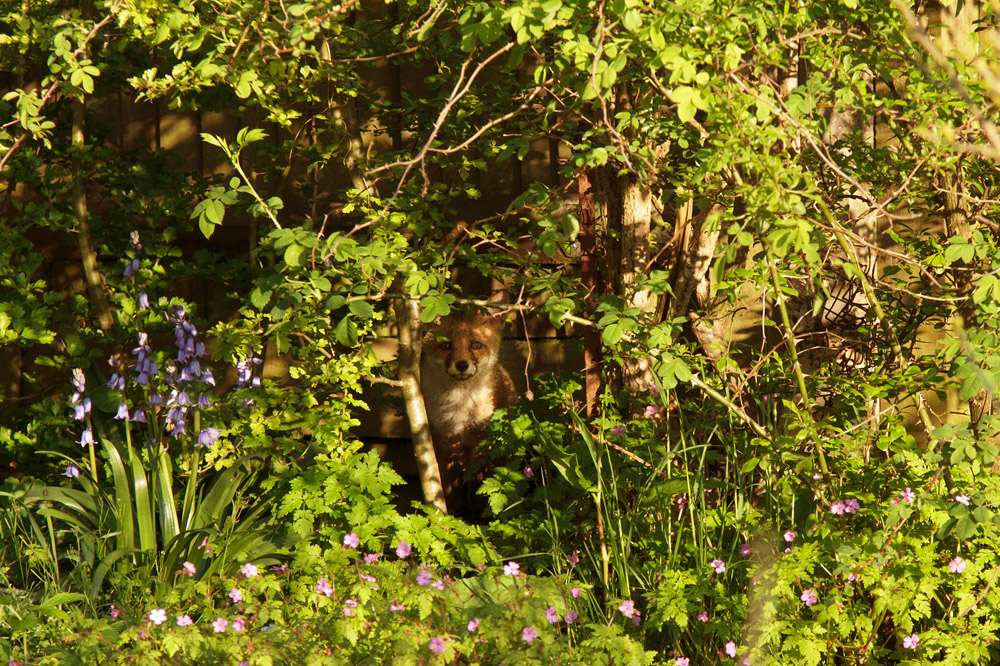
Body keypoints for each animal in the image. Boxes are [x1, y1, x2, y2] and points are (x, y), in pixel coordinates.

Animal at [420, 312, 516, 515]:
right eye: (445, 345)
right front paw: (452, 512)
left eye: (476, 345)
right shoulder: (443, 440)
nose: (462, 364)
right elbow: (447, 484)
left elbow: (476, 480)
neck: (459, 406)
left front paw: (476, 512)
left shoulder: (481, 439)